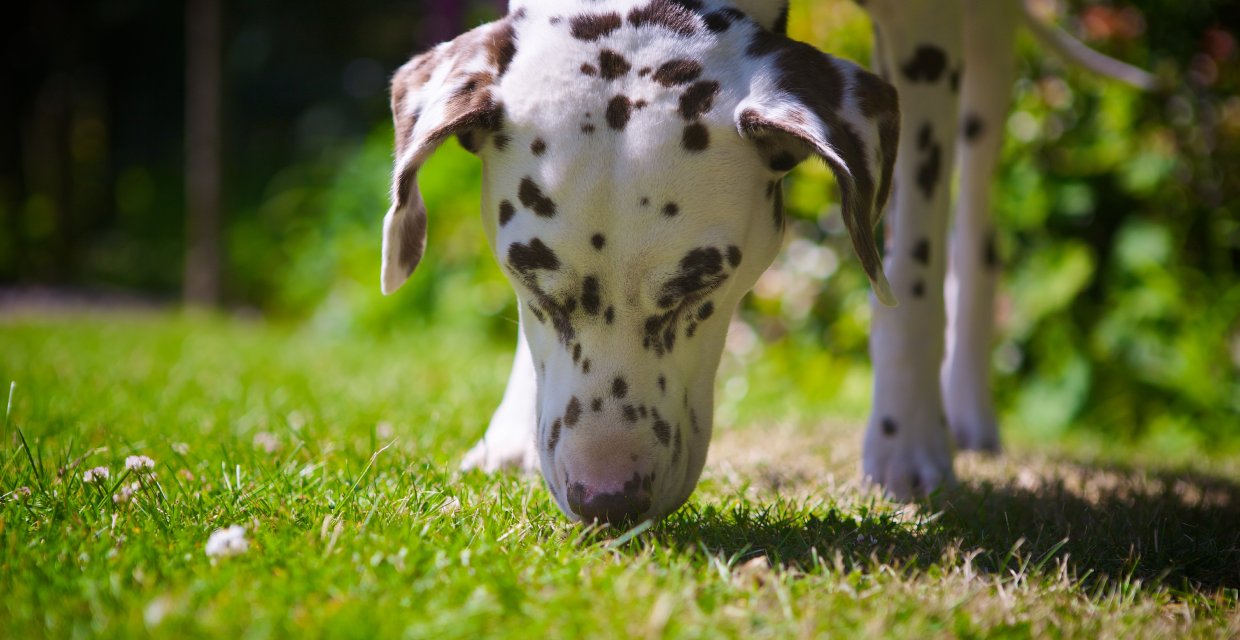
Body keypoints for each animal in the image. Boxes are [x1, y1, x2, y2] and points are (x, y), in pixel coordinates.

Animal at [381, 0, 1155, 520]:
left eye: (701, 286)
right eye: (531, 281)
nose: (606, 500)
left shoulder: (924, 38)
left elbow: (911, 272)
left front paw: (906, 446)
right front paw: (511, 428)